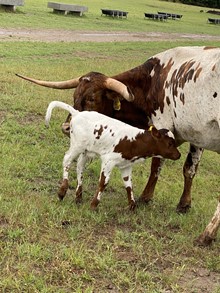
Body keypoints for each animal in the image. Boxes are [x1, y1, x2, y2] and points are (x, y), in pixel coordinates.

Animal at [45, 101, 180, 209]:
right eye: (169, 143)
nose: (178, 155)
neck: (135, 140)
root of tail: (78, 113)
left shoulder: (126, 165)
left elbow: (128, 185)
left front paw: (132, 206)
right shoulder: (108, 160)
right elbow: (103, 182)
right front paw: (94, 205)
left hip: (86, 151)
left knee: (79, 167)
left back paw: (78, 197)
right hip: (77, 146)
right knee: (67, 160)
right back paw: (62, 191)